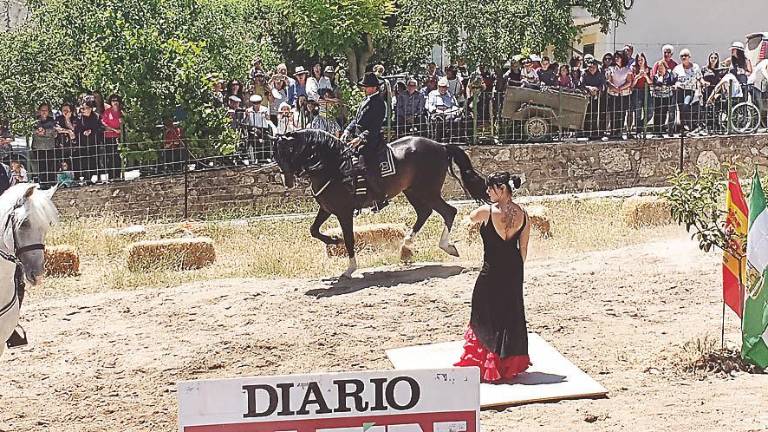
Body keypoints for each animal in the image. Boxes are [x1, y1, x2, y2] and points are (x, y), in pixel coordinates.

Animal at [272, 129, 486, 276]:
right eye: (275, 153)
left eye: (287, 150)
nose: (286, 181)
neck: (333, 166)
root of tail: (440, 145)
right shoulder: (327, 209)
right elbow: (314, 230)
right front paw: (334, 240)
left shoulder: (344, 212)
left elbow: (349, 238)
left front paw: (350, 268)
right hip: (413, 191)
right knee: (424, 213)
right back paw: (406, 247)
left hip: (427, 191)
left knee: (448, 211)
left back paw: (445, 247)